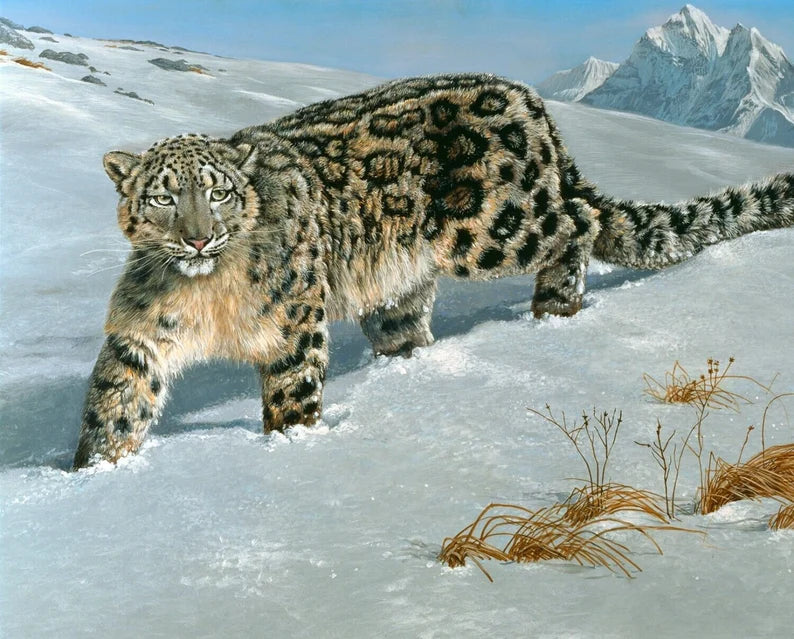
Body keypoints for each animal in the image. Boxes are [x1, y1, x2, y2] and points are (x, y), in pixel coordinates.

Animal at [73, 73, 794, 468]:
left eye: (219, 192)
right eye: (162, 197)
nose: (198, 239)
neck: (206, 295)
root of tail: (534, 104)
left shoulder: (293, 329)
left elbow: (290, 399)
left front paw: (290, 449)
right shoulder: (141, 332)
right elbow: (116, 401)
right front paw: (91, 471)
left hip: (497, 228)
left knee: (579, 223)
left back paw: (555, 308)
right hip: (397, 289)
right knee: (408, 326)